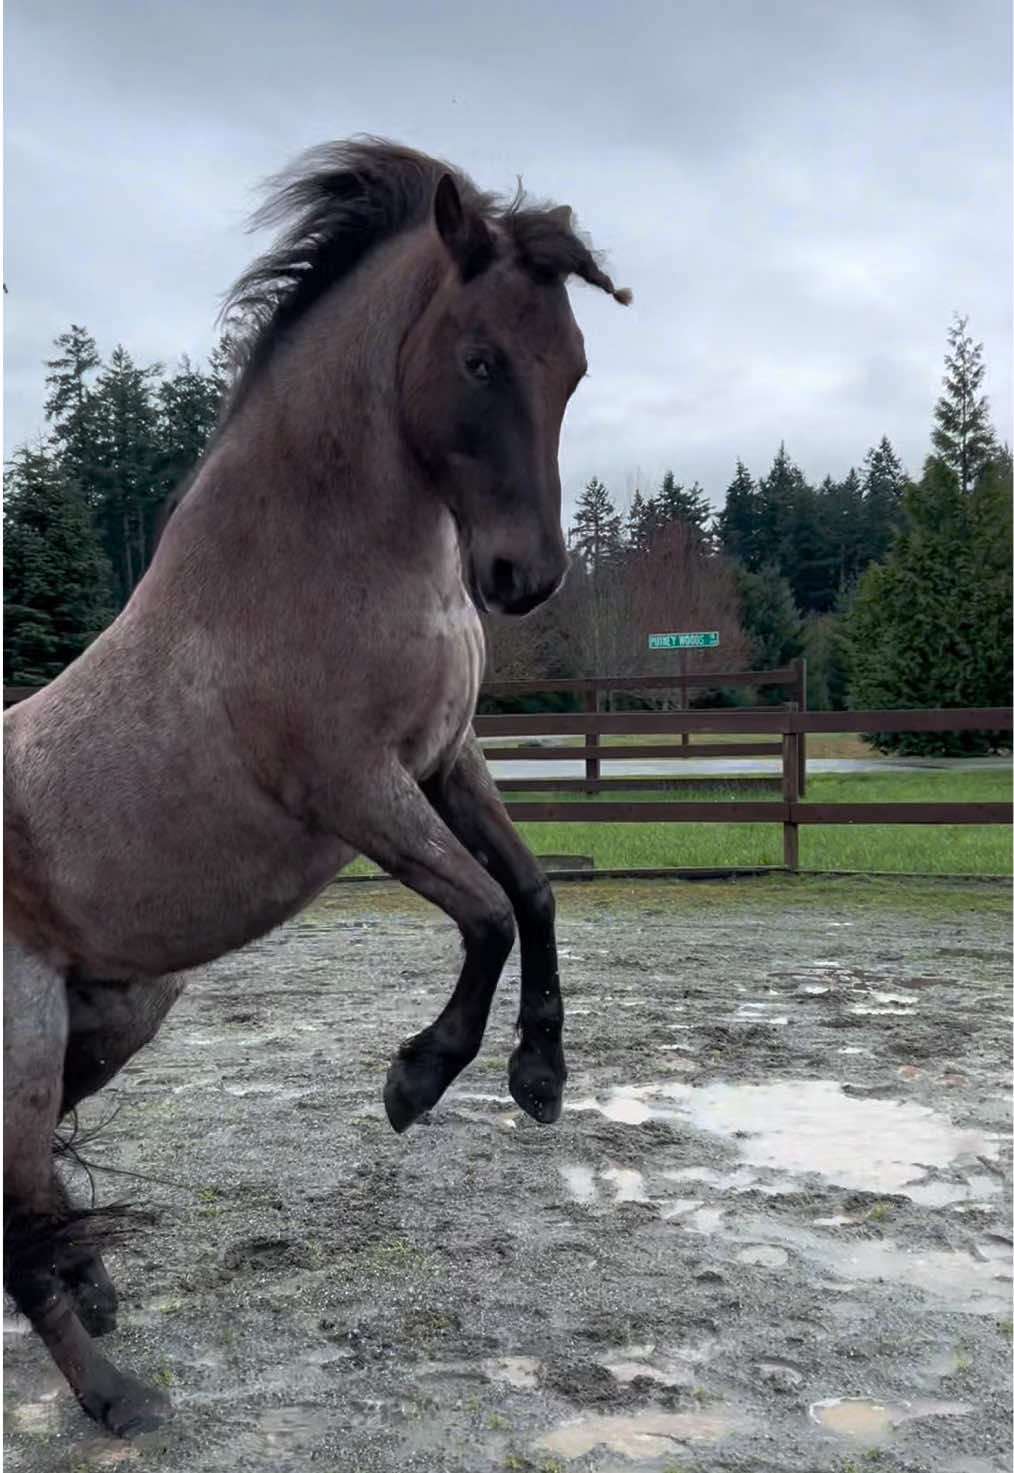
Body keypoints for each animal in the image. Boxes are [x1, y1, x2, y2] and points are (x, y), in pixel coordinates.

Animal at [2, 138, 630, 1437]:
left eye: (575, 365)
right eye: (480, 358)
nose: (524, 578)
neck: (314, 564)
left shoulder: (446, 758)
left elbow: (535, 894)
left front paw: (539, 1078)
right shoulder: (355, 787)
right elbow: (485, 915)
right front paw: (417, 1079)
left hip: (118, 1014)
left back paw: (100, 1299)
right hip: (23, 1043)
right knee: (13, 1225)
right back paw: (118, 1398)